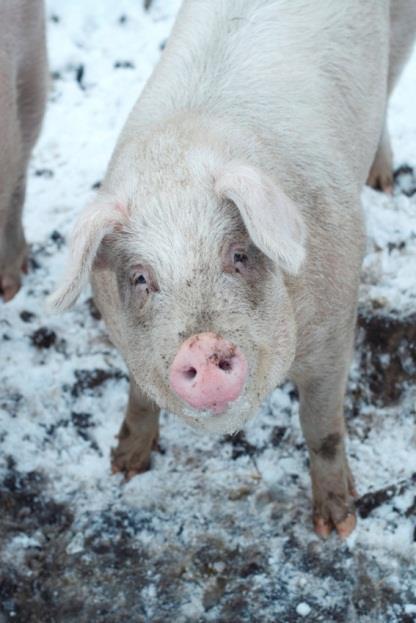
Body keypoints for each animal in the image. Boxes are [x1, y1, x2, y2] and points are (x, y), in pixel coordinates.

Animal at [50, 0, 416, 540]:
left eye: (239, 255)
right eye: (140, 278)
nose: (202, 346)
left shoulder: (336, 323)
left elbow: (321, 426)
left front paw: (337, 526)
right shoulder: (123, 333)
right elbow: (140, 394)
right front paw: (123, 466)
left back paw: (383, 182)